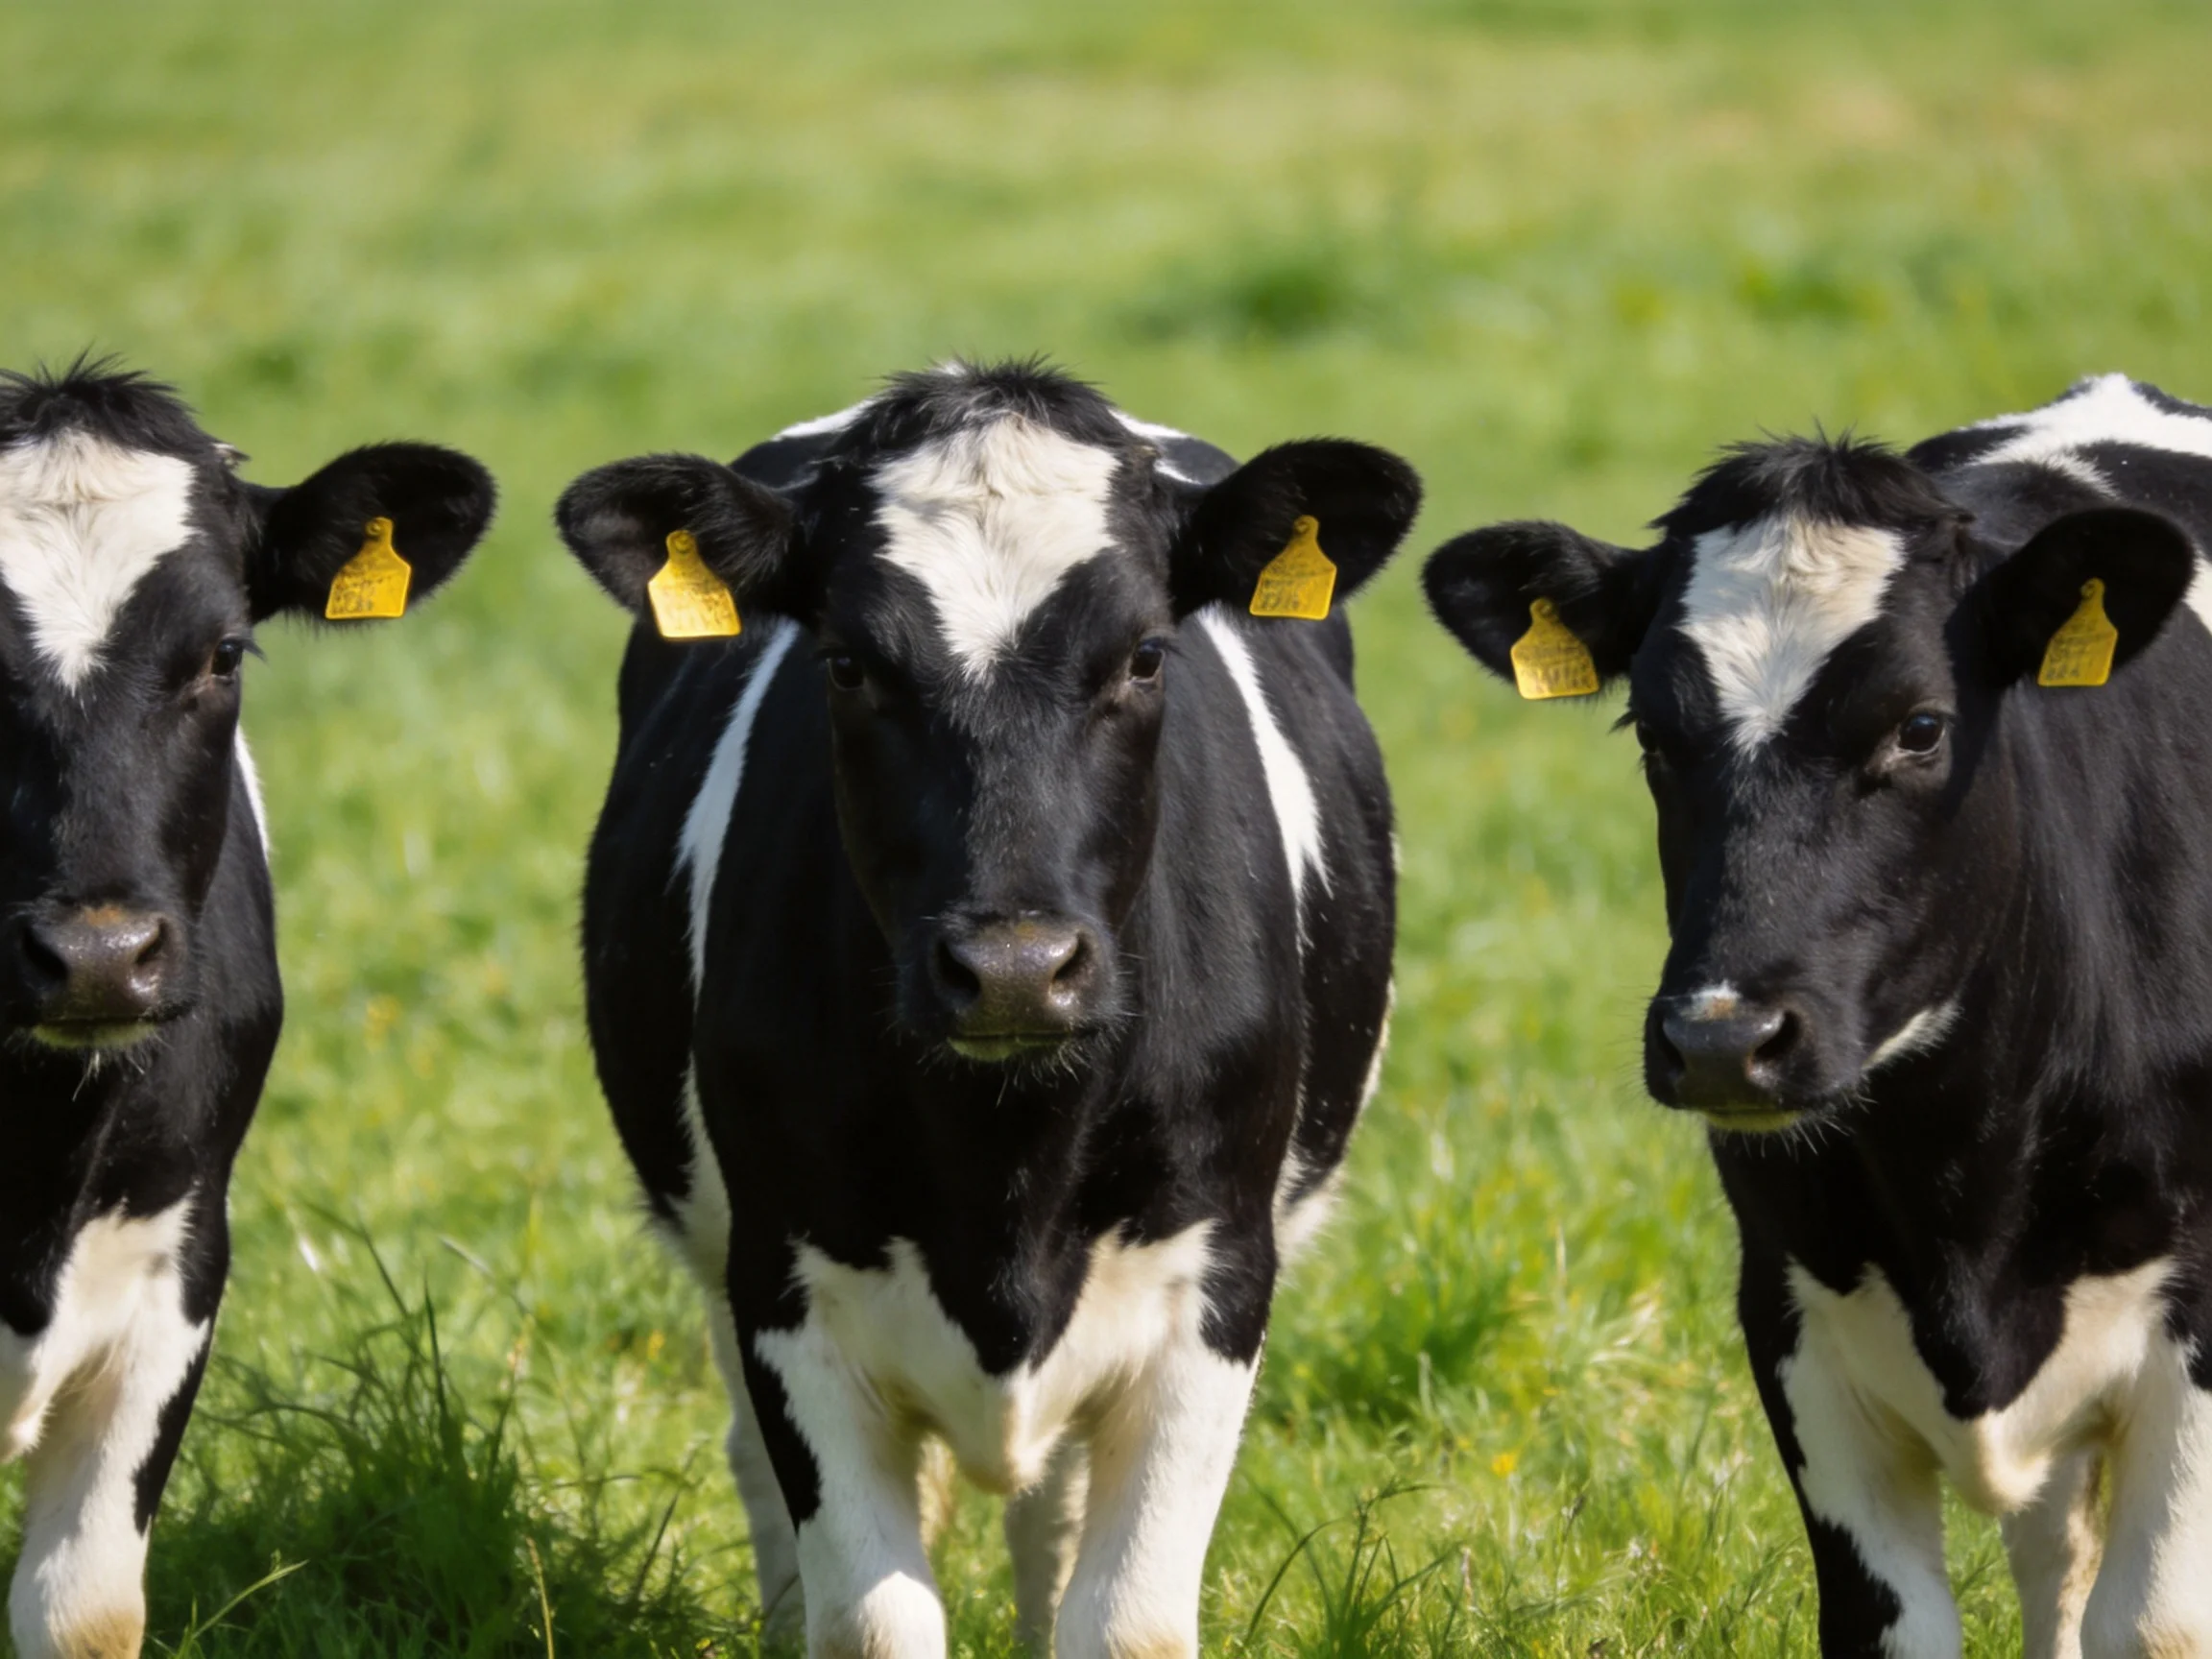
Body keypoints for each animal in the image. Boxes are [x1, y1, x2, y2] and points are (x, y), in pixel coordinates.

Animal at [556, 361, 1417, 1659]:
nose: (1014, 967)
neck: (1006, 1166)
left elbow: (1125, 1621)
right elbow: (869, 1620)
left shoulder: (1216, 1279)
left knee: (1048, 1515)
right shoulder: (784, 1282)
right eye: (847, 663)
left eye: (1146, 656)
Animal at [1422, 373, 2212, 1659]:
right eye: (1651, 732)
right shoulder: (1792, 1314)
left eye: (1921, 727)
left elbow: (2148, 1625)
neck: (1965, 1189)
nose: (1720, 1041)